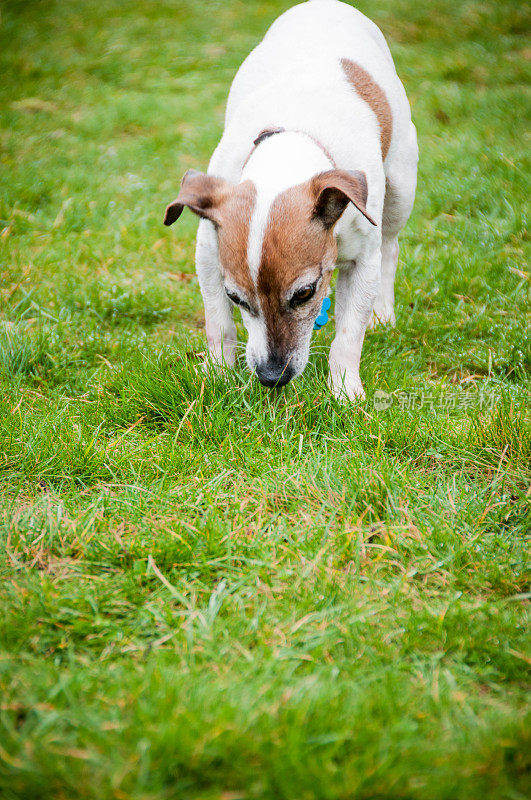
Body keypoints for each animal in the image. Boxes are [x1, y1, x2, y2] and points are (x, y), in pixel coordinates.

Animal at [164, 0, 418, 400]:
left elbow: (348, 336)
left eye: (304, 293)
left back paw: (382, 315)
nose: (271, 377)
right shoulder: (207, 251)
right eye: (235, 297)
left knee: (390, 246)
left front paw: (345, 392)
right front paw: (218, 374)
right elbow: (218, 325)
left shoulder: (363, 261)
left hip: (401, 187)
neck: (294, 140)